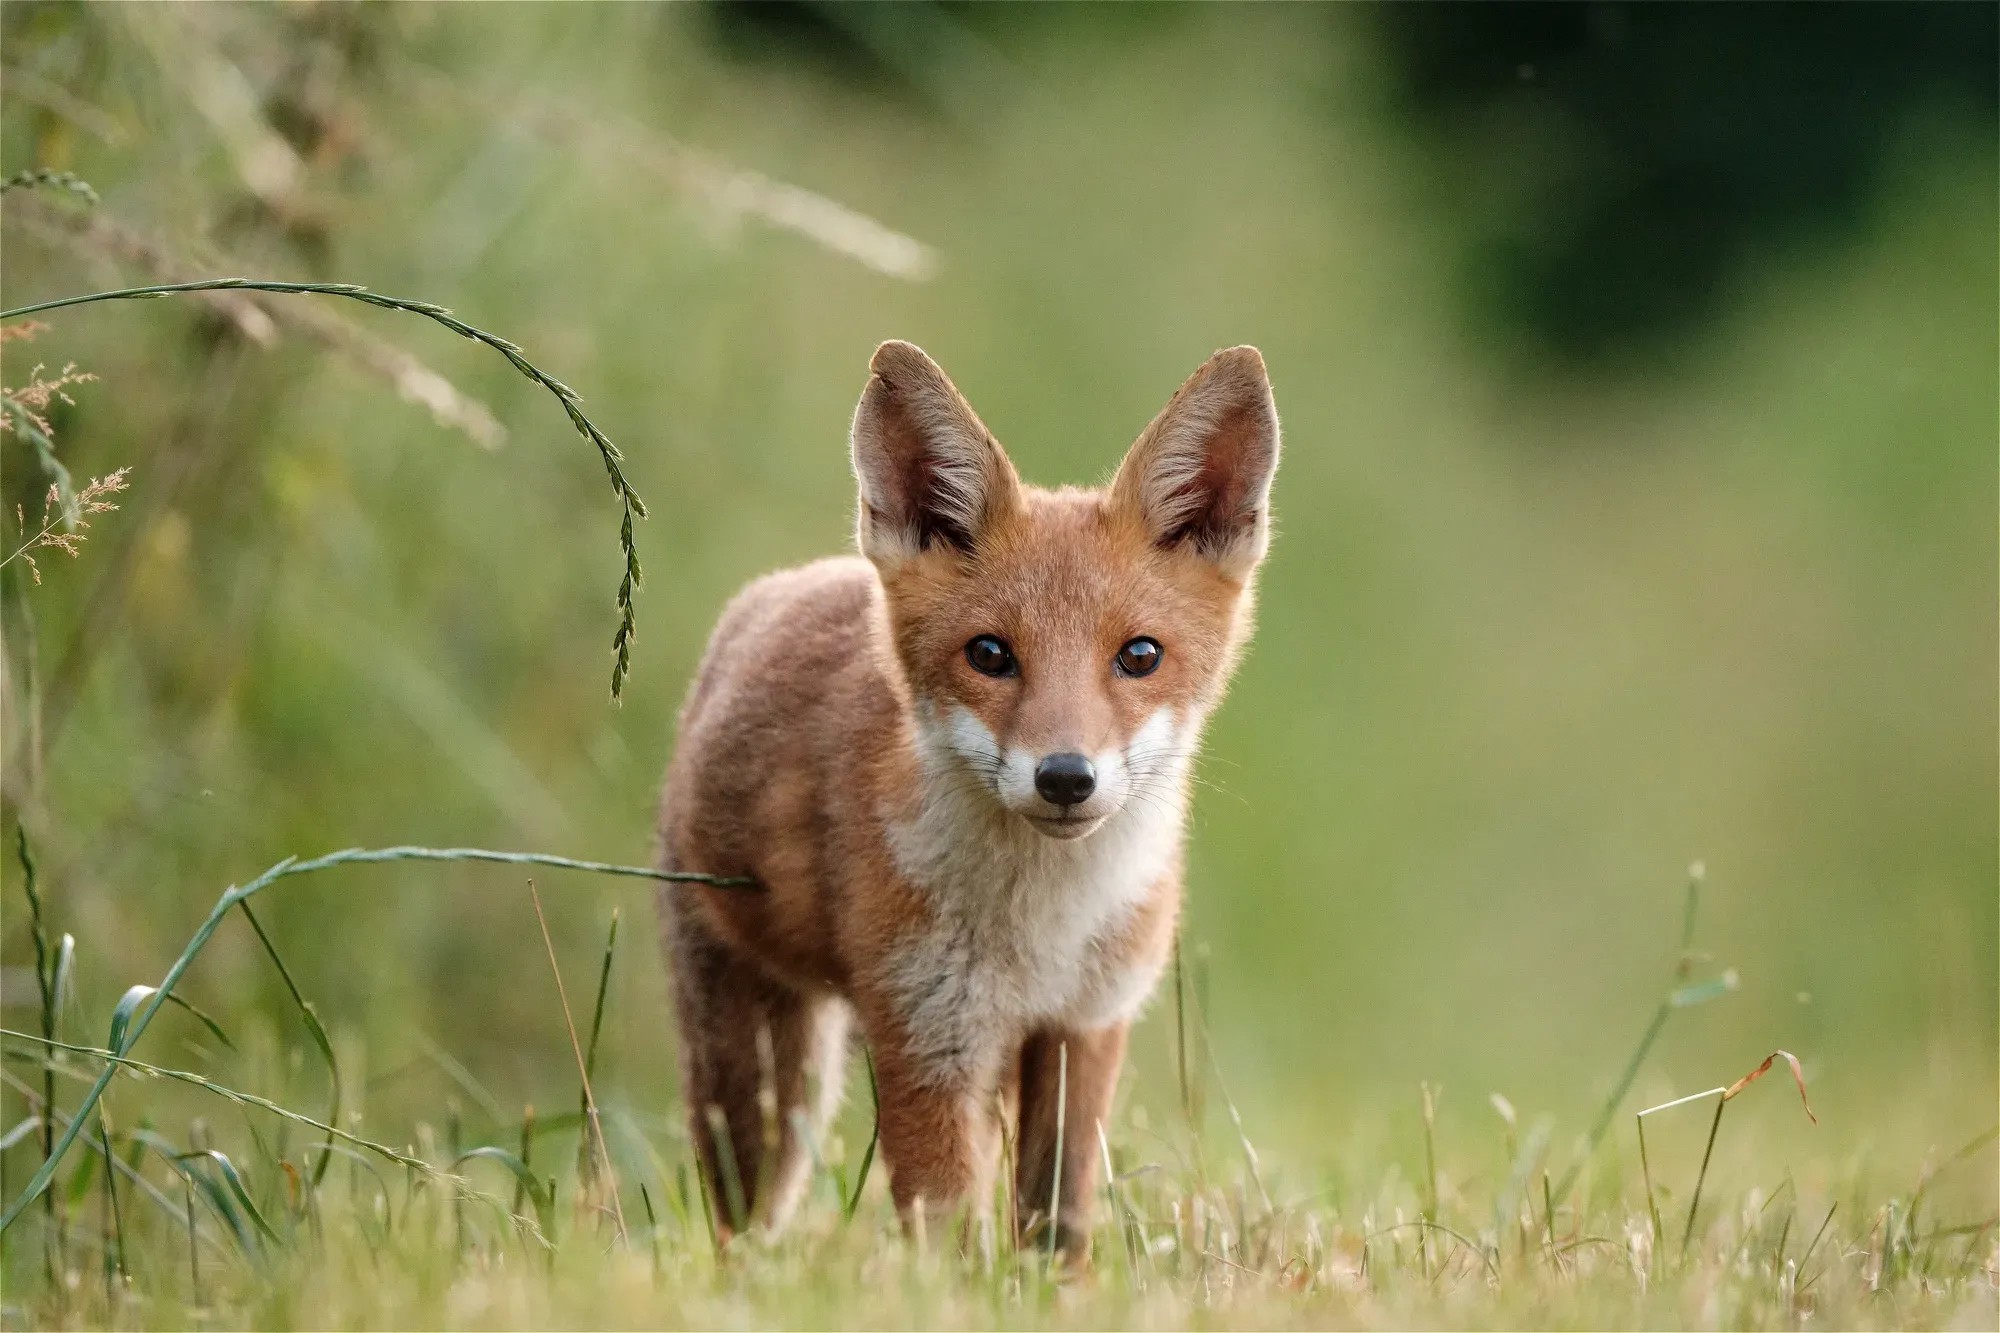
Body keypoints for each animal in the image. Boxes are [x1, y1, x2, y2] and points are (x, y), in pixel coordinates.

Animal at [655, 339, 1280, 1256]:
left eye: (1139, 656)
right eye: (990, 654)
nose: (1066, 776)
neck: (1044, 931)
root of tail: (775, 589)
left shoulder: (1086, 1025)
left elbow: (1057, 1220)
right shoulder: (929, 1036)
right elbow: (944, 1230)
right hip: (767, 1075)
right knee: (745, 1209)